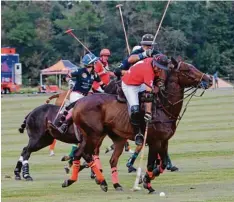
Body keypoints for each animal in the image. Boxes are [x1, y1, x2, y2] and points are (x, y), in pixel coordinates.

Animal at [50, 57, 212, 193]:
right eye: (187, 70)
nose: (209, 79)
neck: (163, 107)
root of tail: (78, 102)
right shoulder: (154, 141)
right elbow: (151, 163)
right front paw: (147, 183)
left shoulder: (164, 140)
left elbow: (163, 163)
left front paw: (145, 179)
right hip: (94, 134)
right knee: (88, 154)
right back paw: (101, 181)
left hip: (107, 137)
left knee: (91, 155)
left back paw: (84, 181)